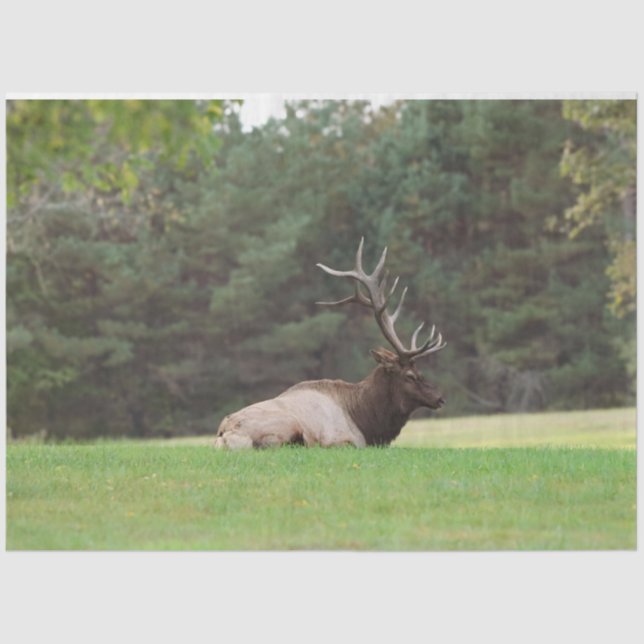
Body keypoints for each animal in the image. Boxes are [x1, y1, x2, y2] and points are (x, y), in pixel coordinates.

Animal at [214, 238, 446, 449]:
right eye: (410, 375)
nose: (440, 398)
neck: (367, 422)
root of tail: (223, 433)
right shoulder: (349, 440)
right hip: (287, 425)